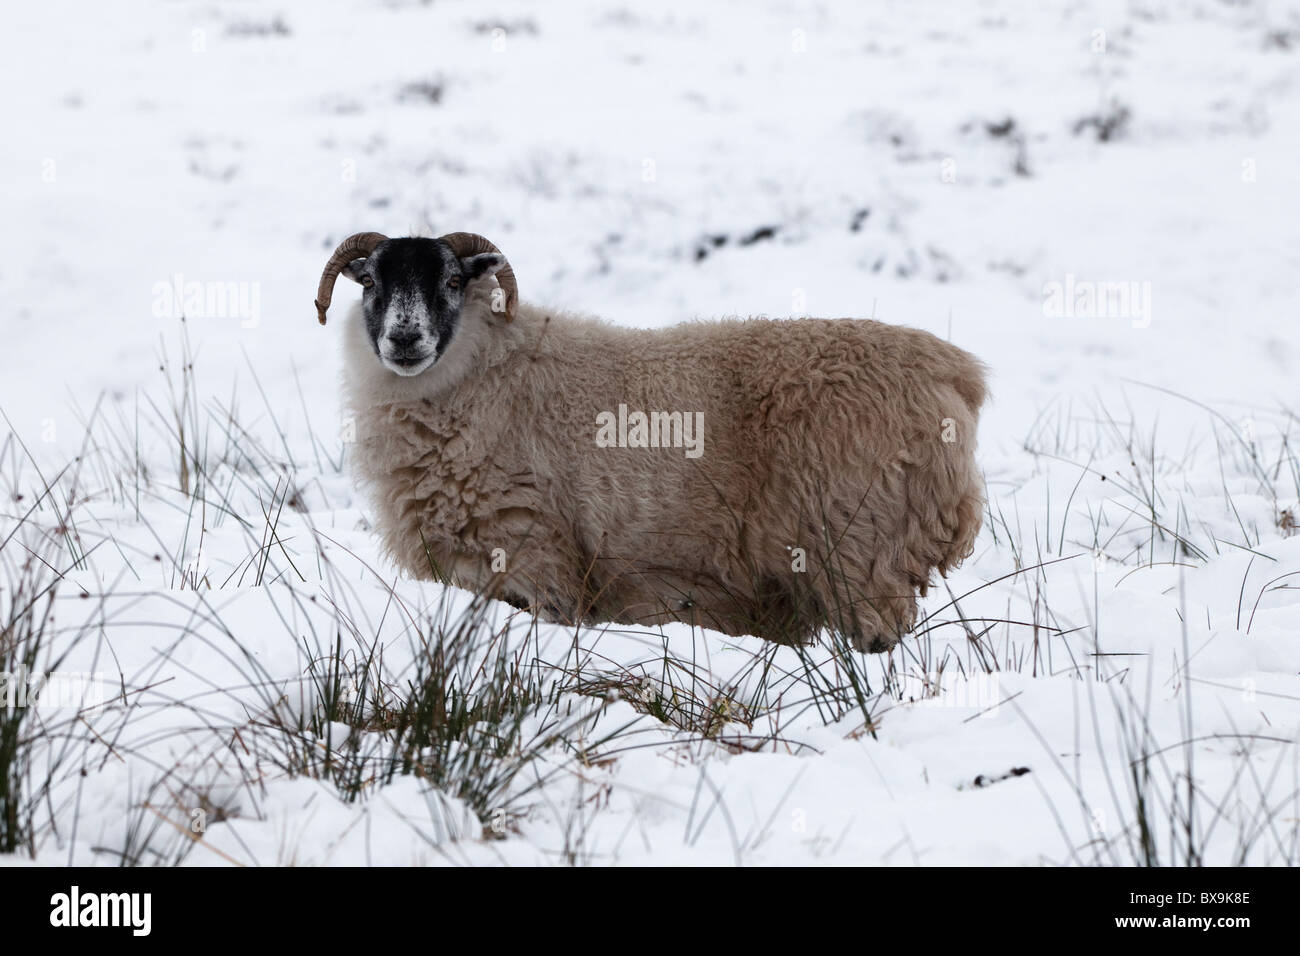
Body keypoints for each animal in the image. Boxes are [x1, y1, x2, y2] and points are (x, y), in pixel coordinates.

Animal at [314, 230, 982, 658]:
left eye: (452, 279)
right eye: (370, 281)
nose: (404, 339)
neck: (489, 370)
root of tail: (955, 373)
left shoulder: (538, 557)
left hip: (864, 547)